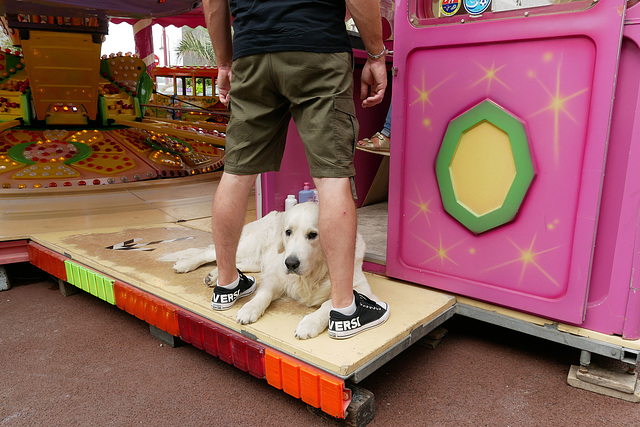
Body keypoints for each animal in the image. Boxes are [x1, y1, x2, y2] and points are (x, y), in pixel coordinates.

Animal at [159, 202, 378, 340]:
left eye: (313, 235)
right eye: (288, 232)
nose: (291, 263)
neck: (314, 273)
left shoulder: (360, 288)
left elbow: (327, 305)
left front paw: (310, 324)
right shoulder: (277, 276)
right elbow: (263, 295)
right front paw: (249, 309)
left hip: (257, 260)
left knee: (236, 263)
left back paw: (214, 275)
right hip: (248, 246)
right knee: (210, 253)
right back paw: (185, 264)